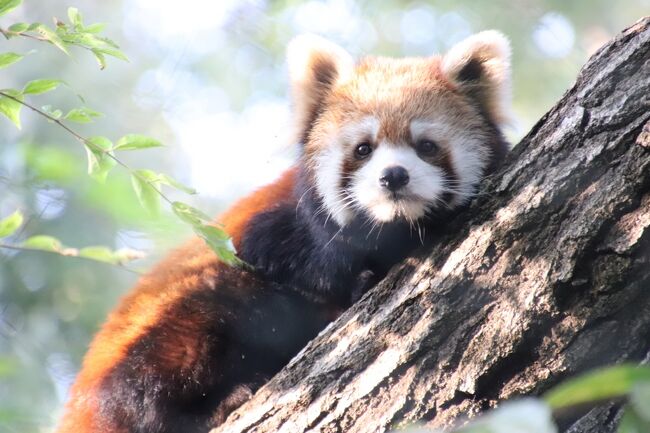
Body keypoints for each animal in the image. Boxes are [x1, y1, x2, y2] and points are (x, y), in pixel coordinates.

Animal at [55, 30, 512, 432]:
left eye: (426, 146)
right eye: (363, 149)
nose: (394, 176)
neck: (395, 229)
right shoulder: (272, 226)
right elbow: (291, 256)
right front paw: (357, 279)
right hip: (163, 328)